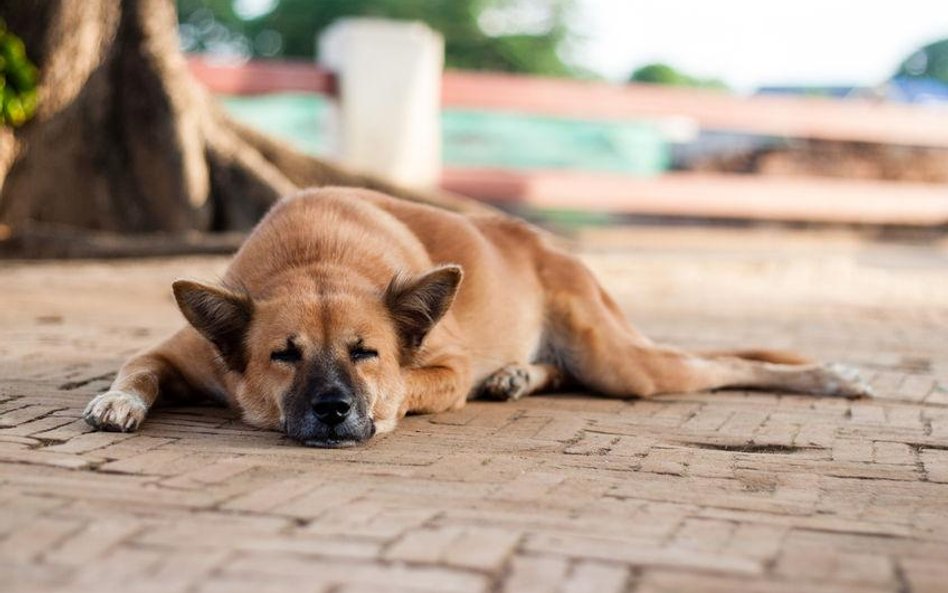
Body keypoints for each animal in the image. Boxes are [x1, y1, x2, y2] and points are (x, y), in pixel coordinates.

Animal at [85, 187, 872, 446]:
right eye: (285, 353)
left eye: (366, 352)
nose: (335, 410)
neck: (314, 256)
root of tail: (547, 243)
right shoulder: (178, 350)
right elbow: (136, 366)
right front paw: (118, 401)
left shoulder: (448, 364)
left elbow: (418, 387)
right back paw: (521, 376)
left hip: (623, 365)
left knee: (722, 363)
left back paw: (830, 376)